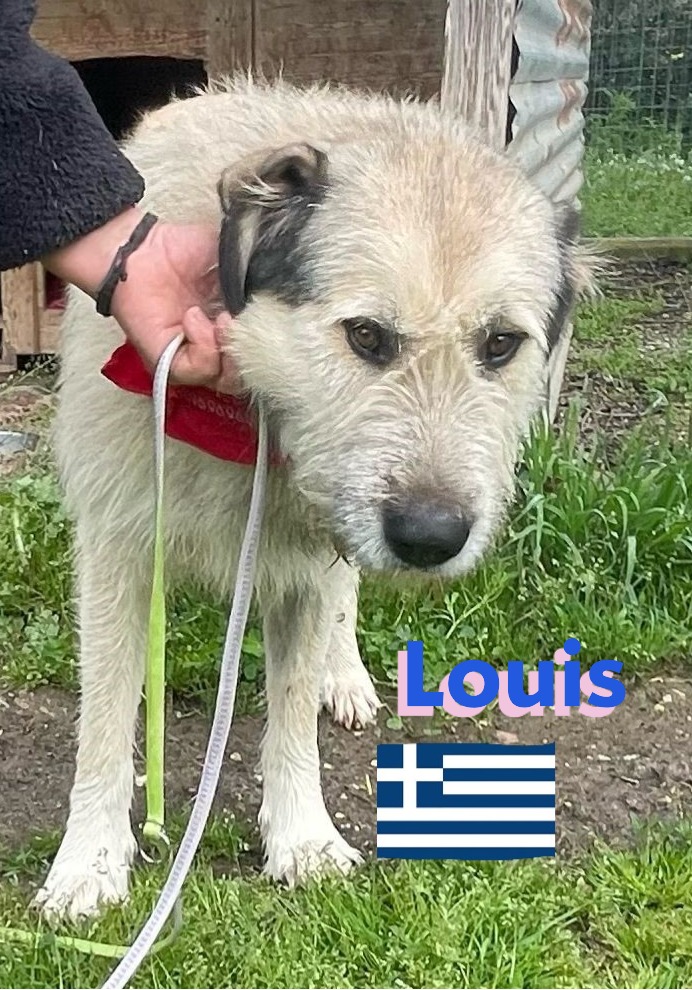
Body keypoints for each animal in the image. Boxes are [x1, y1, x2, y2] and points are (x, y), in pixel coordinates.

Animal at [36, 76, 587, 920]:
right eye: (364, 335)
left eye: (500, 344)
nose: (431, 538)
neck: (248, 413)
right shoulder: (118, 547)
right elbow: (103, 715)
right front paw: (90, 861)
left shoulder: (303, 565)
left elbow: (292, 710)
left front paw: (301, 838)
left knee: (344, 600)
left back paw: (345, 674)